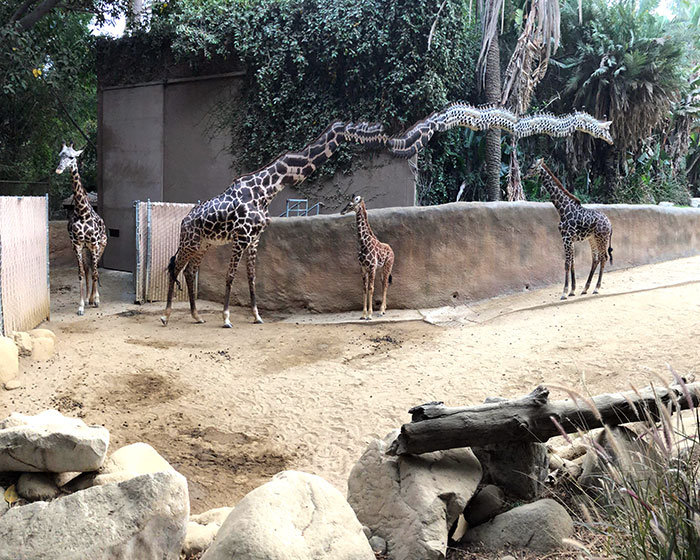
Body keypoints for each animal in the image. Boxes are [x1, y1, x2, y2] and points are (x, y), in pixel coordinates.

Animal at [54, 142, 107, 316]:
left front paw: (96, 300)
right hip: (86, 249)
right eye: (60, 155)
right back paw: (88, 298)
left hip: (100, 247)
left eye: (72, 157)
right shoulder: (77, 245)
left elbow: (96, 272)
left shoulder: (95, 244)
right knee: (88, 268)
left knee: (95, 270)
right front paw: (81, 305)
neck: (82, 213)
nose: (59, 169)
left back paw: (94, 298)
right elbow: (81, 273)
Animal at [161, 120, 386, 326]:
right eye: (363, 126)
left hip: (204, 244)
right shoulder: (241, 237)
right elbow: (230, 275)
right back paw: (166, 316)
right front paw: (226, 318)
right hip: (190, 242)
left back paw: (197, 316)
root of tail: (184, 220)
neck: (265, 190)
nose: (382, 135)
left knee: (189, 271)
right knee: (175, 268)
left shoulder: (253, 239)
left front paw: (257, 316)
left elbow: (251, 277)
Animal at [524, 158, 612, 300]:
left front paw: (564, 292)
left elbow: (567, 263)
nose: (524, 176)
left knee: (604, 257)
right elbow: (572, 262)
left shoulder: (566, 237)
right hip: (592, 239)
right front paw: (572, 290)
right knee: (596, 258)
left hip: (601, 238)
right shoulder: (569, 239)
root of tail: (610, 223)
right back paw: (585, 289)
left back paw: (596, 288)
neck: (562, 209)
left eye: (532, 167)